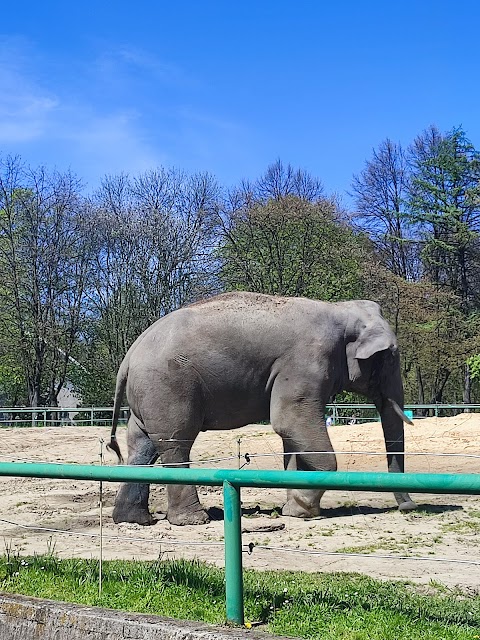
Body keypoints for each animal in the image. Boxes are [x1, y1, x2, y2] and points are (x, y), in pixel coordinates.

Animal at [109, 292, 416, 528]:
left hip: (148, 393)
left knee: (142, 445)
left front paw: (294, 510)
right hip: (168, 386)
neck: (339, 310)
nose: (409, 508)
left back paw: (133, 520)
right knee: (175, 443)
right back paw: (193, 521)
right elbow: (289, 422)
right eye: (390, 357)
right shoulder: (307, 361)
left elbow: (292, 436)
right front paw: (305, 510)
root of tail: (129, 356)